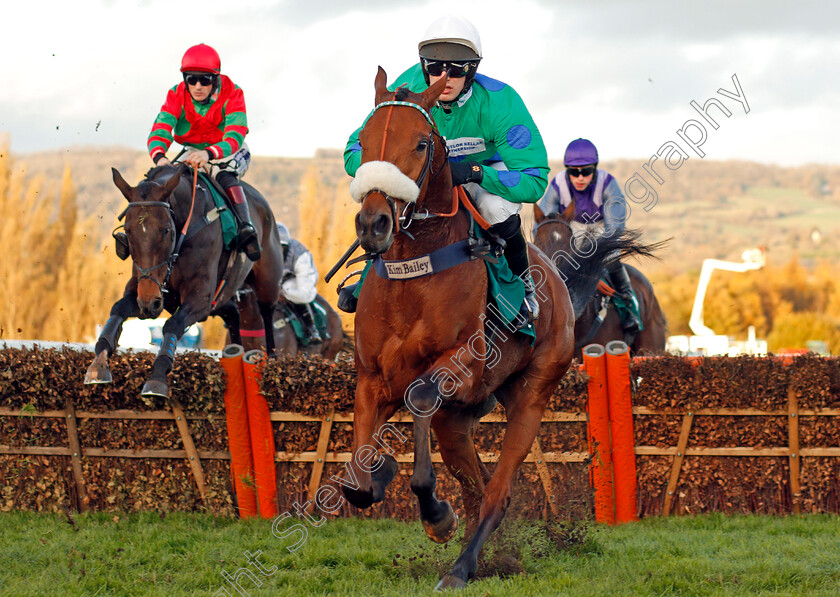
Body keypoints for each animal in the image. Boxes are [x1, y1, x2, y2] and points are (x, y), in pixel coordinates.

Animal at [85, 164, 284, 396]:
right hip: (220, 299)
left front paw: (157, 377)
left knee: (267, 312)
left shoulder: (200, 297)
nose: (149, 302)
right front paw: (98, 364)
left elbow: (173, 324)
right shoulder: (146, 288)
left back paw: (272, 360)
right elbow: (118, 309)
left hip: (267, 281)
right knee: (234, 314)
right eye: (127, 230)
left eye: (166, 230)